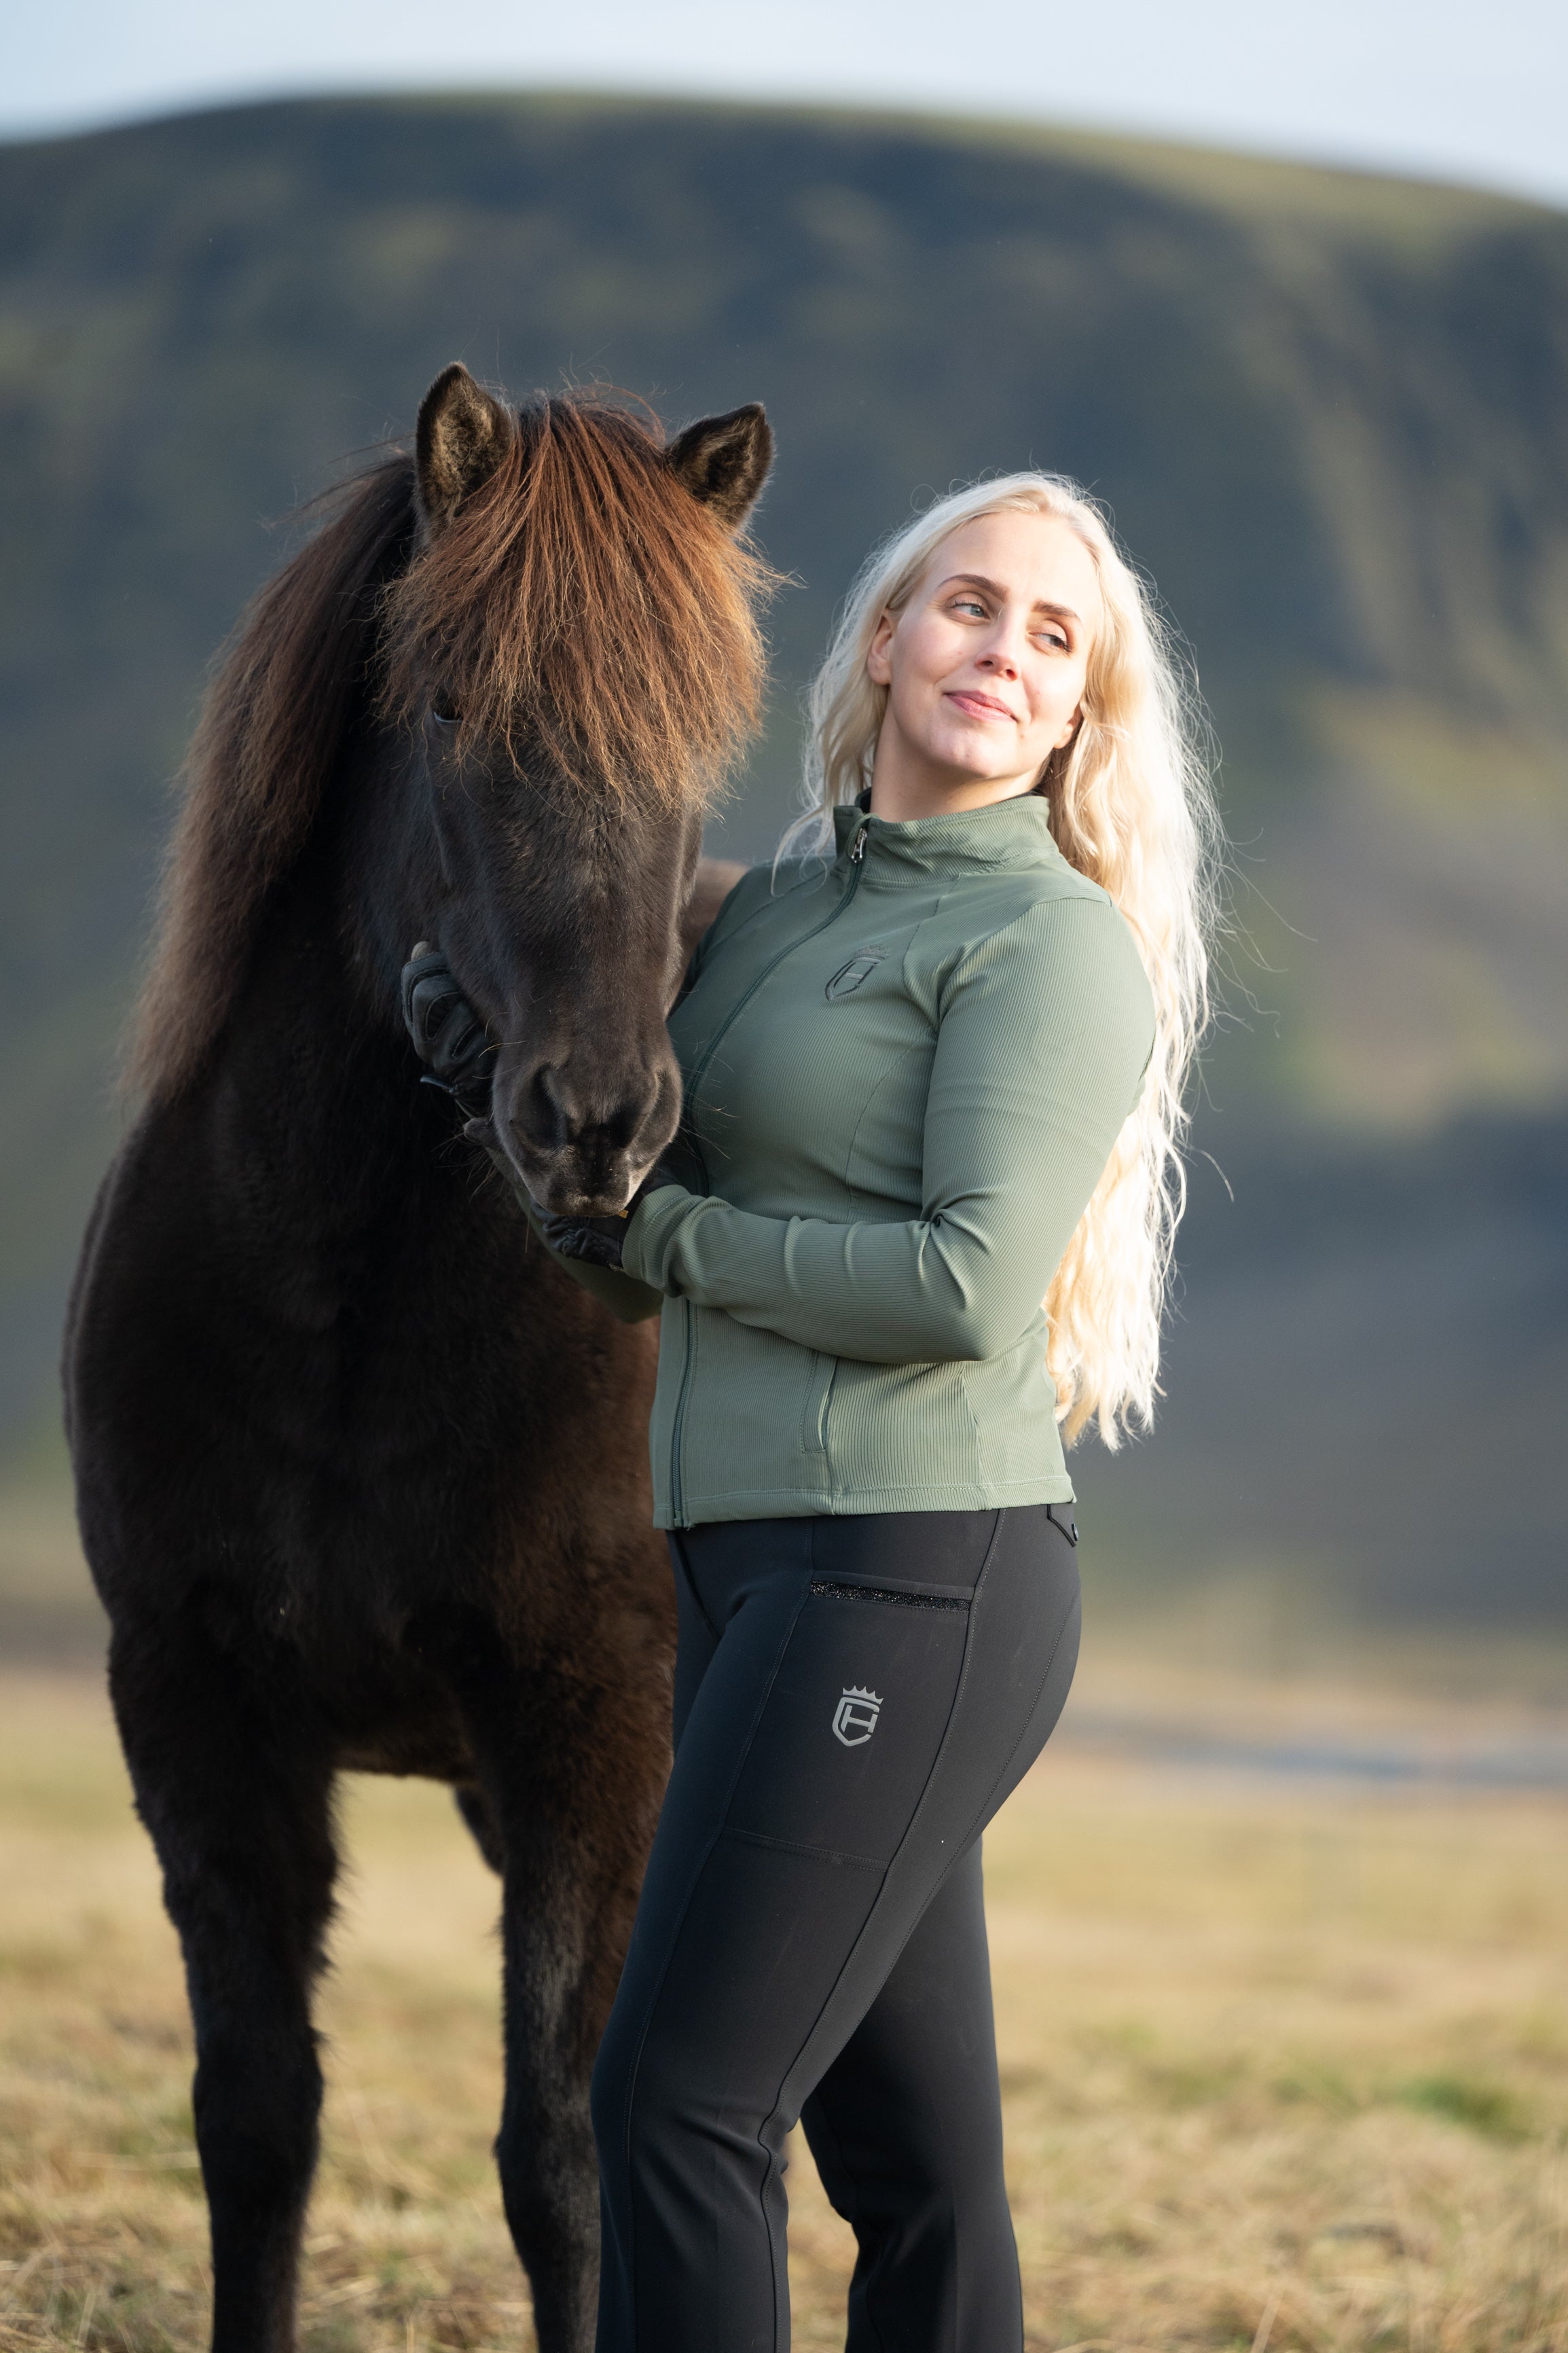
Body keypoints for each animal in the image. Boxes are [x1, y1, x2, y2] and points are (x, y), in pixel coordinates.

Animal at [64, 361, 774, 2353]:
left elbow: (561, 2152)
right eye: (453, 706)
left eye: (696, 749)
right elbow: (257, 2122)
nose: (596, 1124)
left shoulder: (589, 1734)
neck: (353, 1328)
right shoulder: (198, 1717)